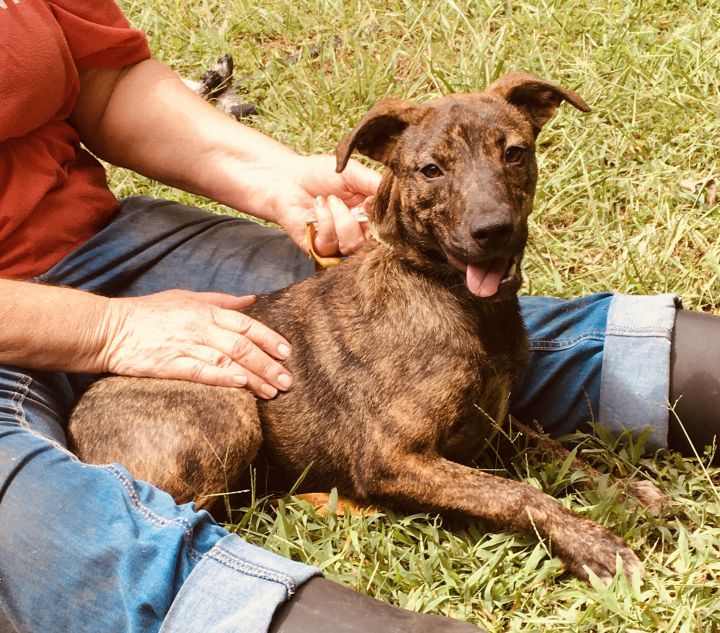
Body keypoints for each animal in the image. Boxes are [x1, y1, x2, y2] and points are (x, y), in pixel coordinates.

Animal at [67, 73, 640, 584]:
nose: (493, 231)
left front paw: (628, 492)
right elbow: (517, 494)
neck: (448, 292)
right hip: (230, 408)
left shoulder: (494, 423)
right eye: (431, 170)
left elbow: (556, 448)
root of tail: (76, 423)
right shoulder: (392, 457)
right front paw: (592, 543)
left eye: (515, 153)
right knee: (197, 514)